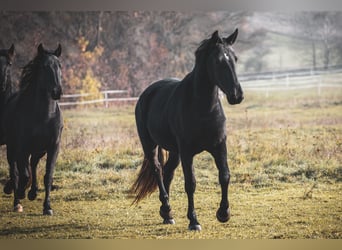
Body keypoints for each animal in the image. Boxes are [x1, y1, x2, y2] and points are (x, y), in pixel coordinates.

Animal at [2, 43, 63, 215]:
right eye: (44, 67)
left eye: (59, 66)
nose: (57, 92)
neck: (44, 116)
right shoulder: (22, 147)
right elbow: (23, 174)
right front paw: (20, 193)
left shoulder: (53, 147)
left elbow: (48, 175)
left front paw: (47, 207)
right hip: (14, 147)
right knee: (16, 169)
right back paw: (17, 198)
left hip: (38, 150)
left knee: (33, 165)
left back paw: (32, 192)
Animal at [131, 28, 243, 230]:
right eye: (218, 61)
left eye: (235, 58)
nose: (237, 95)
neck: (203, 108)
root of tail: (147, 92)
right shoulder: (187, 152)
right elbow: (190, 183)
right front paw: (194, 221)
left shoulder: (219, 146)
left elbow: (224, 176)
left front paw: (224, 213)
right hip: (150, 145)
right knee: (157, 169)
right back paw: (166, 208)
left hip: (175, 152)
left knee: (167, 172)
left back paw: (166, 214)